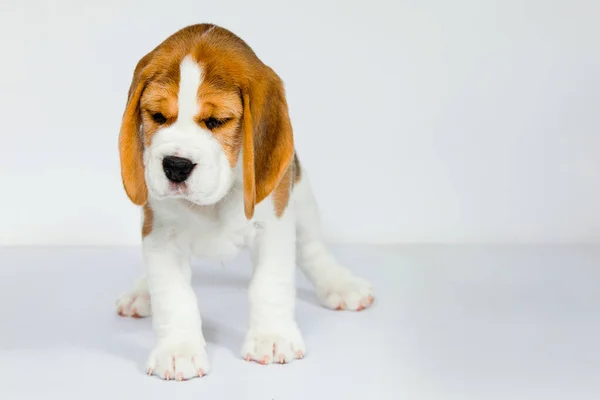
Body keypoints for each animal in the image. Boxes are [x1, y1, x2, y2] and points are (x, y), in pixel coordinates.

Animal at [115, 24, 372, 382]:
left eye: (216, 121)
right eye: (157, 116)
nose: (176, 166)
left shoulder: (274, 225)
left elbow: (269, 283)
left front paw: (272, 338)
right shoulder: (160, 235)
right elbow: (173, 294)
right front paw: (178, 351)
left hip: (302, 197)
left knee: (311, 248)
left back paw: (340, 284)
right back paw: (141, 293)